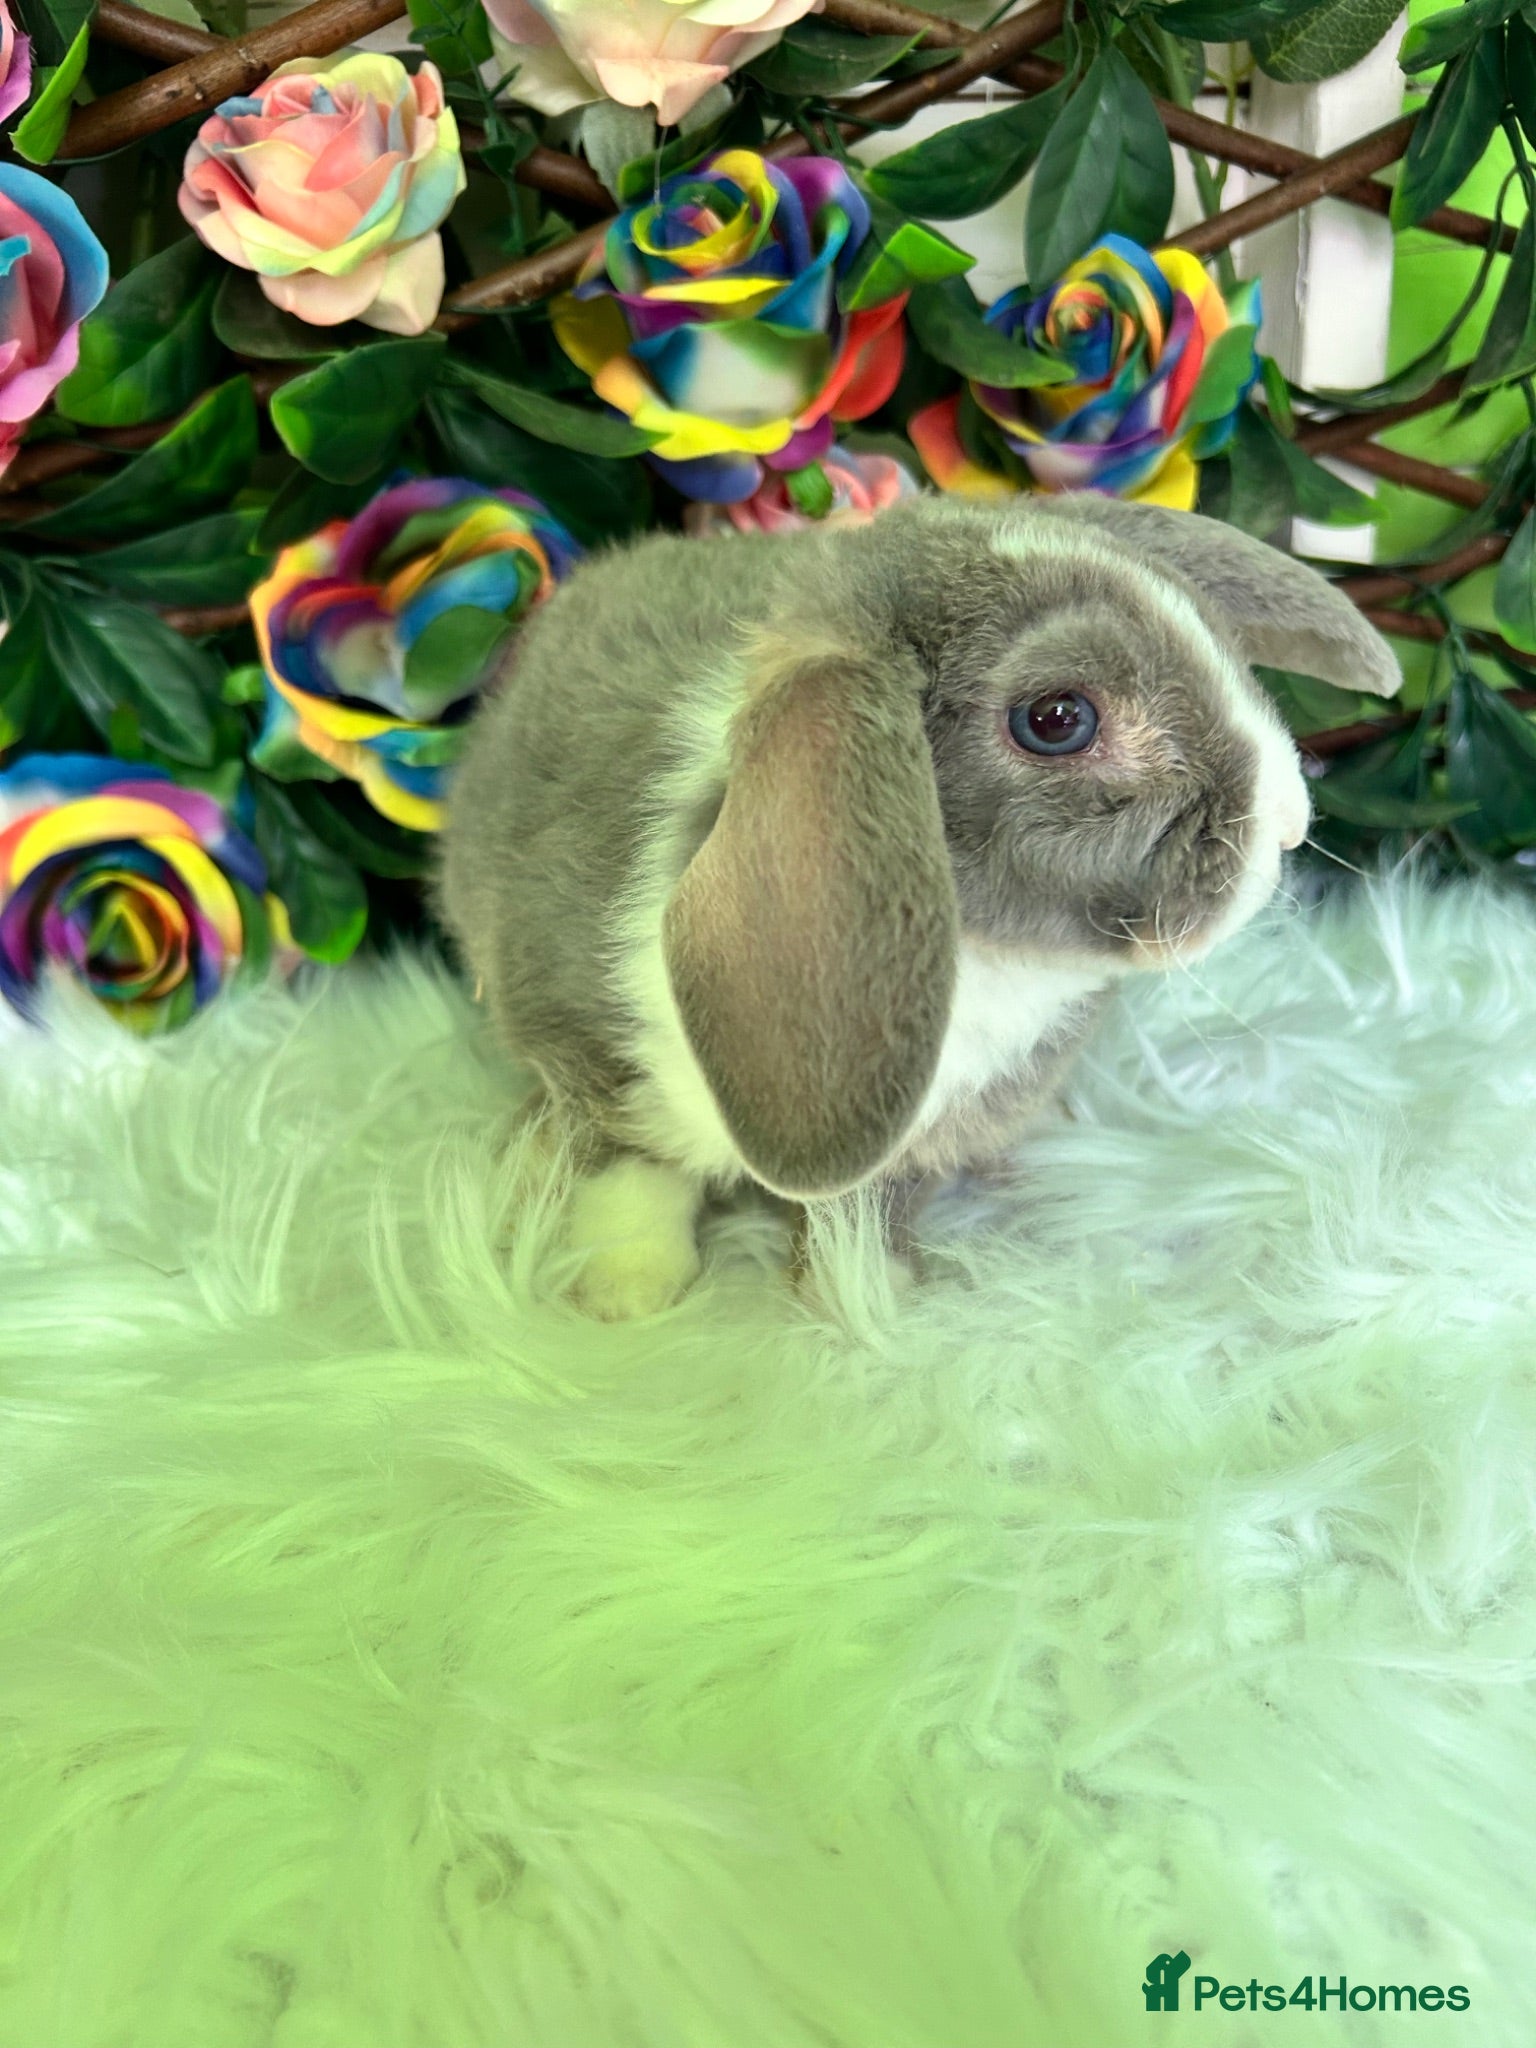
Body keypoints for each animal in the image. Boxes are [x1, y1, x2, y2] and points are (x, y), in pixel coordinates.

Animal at [436, 492, 1400, 1319]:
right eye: (1058, 718)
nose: (1288, 820)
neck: (986, 958)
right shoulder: (593, 1053)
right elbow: (632, 1174)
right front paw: (621, 1294)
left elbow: (864, 1214)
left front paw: (869, 1302)